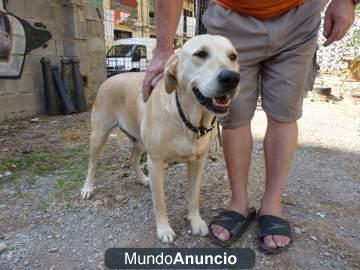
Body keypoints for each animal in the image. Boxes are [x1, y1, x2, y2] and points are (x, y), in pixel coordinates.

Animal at [80, 34, 240, 244]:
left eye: (233, 56)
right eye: (201, 54)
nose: (232, 78)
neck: (188, 121)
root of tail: (111, 77)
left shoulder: (198, 162)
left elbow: (194, 196)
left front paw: (195, 221)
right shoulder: (156, 163)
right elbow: (160, 202)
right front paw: (164, 229)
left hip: (139, 141)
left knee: (133, 160)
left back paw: (142, 179)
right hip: (99, 134)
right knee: (92, 164)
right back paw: (87, 188)